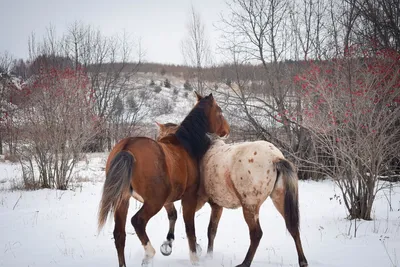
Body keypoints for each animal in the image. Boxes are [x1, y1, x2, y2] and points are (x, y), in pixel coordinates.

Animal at [97, 92, 230, 267]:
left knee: (120, 235)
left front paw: (168, 245)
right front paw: (194, 258)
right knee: (137, 221)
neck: (186, 146)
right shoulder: (188, 197)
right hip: (154, 201)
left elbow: (173, 216)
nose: (227, 130)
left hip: (123, 200)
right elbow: (190, 229)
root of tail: (127, 147)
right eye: (220, 111)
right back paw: (149, 254)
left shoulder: (170, 199)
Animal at [155, 122, 308, 267]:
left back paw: (245, 263)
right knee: (293, 228)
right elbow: (211, 230)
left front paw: (169, 245)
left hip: (249, 207)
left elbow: (182, 219)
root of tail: (275, 158)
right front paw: (208, 256)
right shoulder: (216, 206)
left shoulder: (195, 201)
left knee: (256, 234)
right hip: (279, 200)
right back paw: (302, 261)